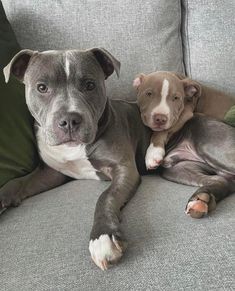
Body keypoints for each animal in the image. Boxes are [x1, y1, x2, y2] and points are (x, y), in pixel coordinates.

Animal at [1, 48, 235, 272]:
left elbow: (106, 197)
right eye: (41, 87)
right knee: (220, 180)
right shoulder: (51, 172)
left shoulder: (124, 170)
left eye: (90, 85)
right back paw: (202, 199)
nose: (69, 120)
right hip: (176, 169)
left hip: (209, 144)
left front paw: (102, 237)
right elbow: (16, 183)